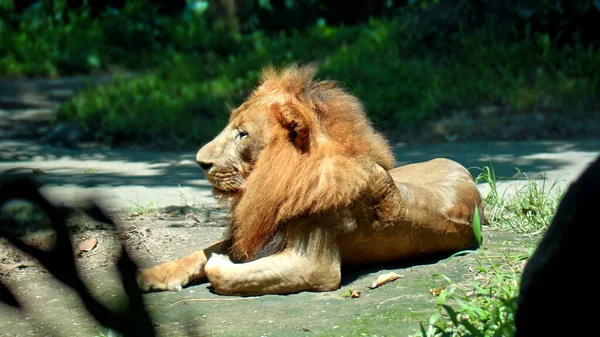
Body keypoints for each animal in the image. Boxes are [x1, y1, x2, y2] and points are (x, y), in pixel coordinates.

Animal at [137, 63, 482, 294]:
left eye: (242, 134)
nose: (200, 162)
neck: (273, 181)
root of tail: (459, 166)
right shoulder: (259, 232)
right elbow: (197, 253)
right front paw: (150, 275)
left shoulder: (314, 266)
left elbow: (225, 273)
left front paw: (220, 264)